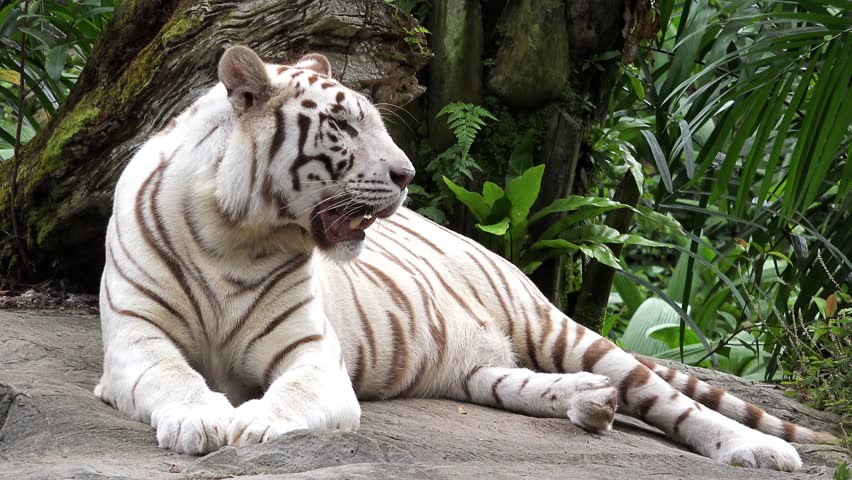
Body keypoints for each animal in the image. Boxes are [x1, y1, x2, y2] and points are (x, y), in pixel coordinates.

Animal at [95, 45, 835, 472]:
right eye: (342, 125)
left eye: (374, 121)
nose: (406, 174)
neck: (238, 233)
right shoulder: (136, 343)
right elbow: (174, 378)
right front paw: (202, 418)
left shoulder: (312, 356)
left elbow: (294, 396)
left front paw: (251, 425)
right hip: (476, 368)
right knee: (528, 383)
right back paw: (590, 404)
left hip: (559, 327)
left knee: (671, 401)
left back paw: (761, 450)